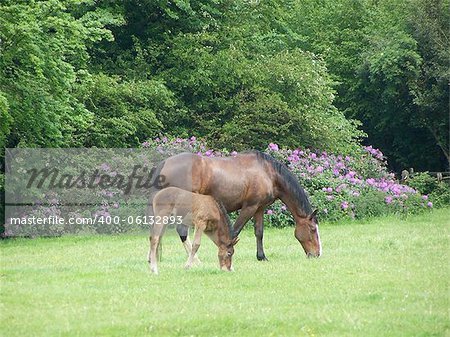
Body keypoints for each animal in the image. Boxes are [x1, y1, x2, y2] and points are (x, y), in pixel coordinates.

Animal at [149, 150, 322, 260]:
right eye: (313, 229)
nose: (317, 254)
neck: (267, 172)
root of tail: (164, 163)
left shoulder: (259, 208)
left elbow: (259, 232)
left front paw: (261, 257)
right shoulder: (249, 207)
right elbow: (235, 231)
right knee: (181, 231)